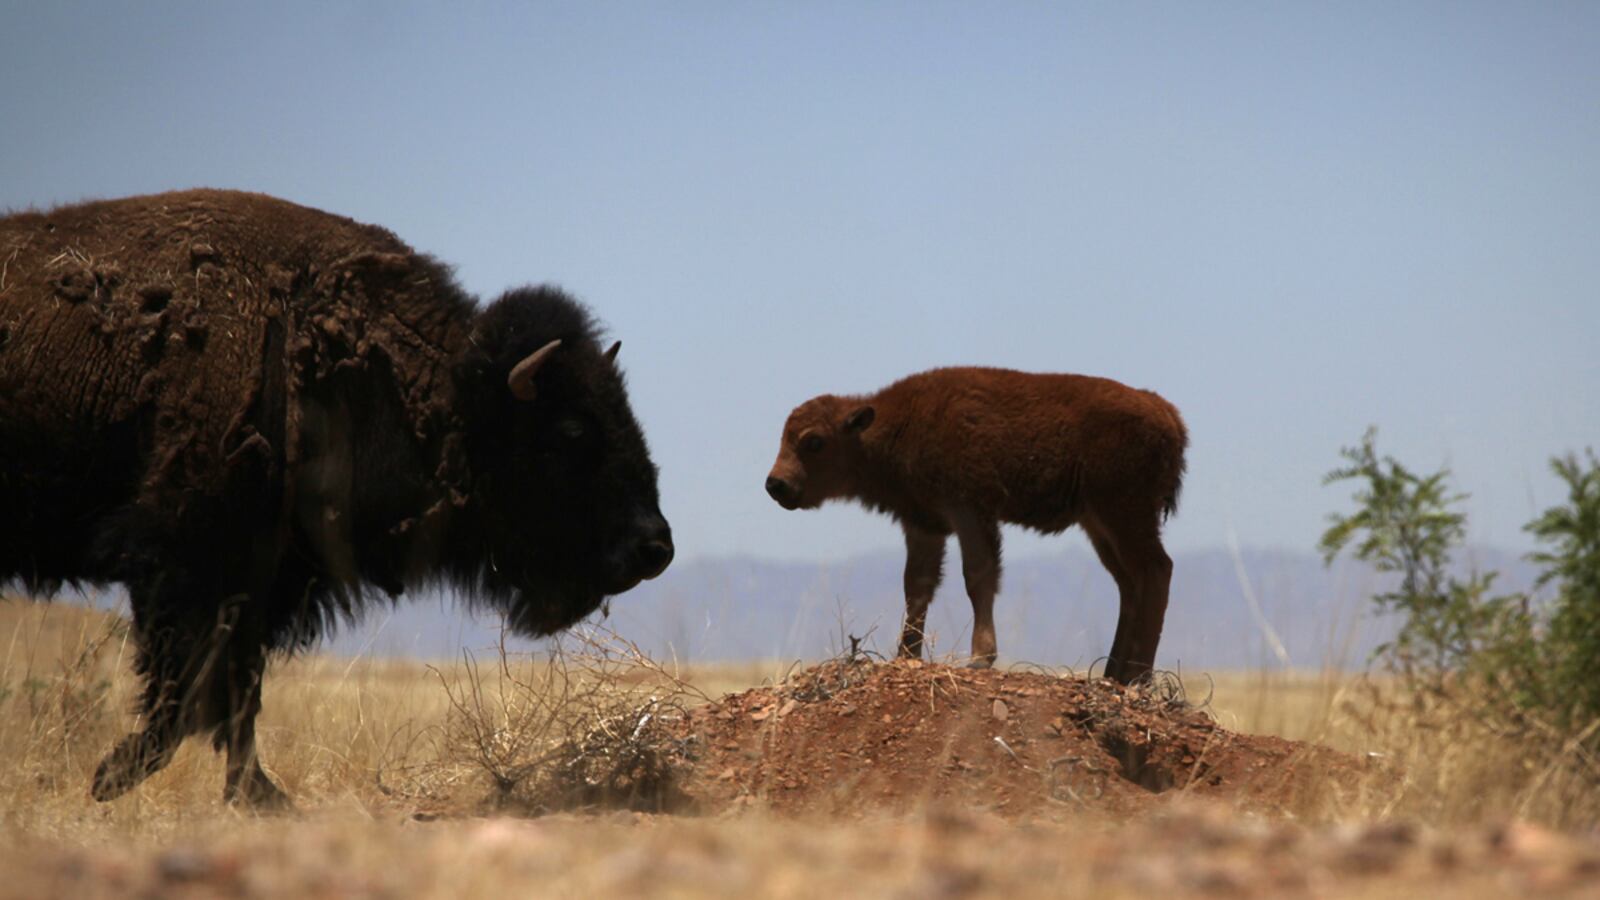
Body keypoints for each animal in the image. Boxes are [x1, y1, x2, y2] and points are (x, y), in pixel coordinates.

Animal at [0, 189, 673, 805]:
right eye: (572, 431)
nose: (655, 547)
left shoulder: (262, 578)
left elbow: (238, 690)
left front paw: (259, 796)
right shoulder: (184, 560)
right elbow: (188, 689)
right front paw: (111, 779)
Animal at [766, 367, 1187, 683]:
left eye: (814, 441)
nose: (776, 484)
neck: (893, 426)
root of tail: (1164, 411)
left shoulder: (970, 513)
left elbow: (978, 577)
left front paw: (981, 657)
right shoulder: (924, 524)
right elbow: (917, 587)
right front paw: (905, 655)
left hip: (1124, 514)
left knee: (1156, 571)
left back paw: (1137, 677)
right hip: (1099, 524)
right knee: (1129, 584)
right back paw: (1114, 674)